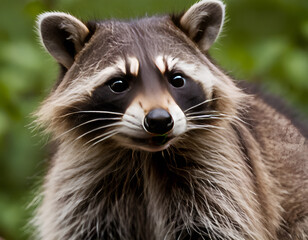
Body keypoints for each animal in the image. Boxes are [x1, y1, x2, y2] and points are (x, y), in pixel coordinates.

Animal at [32, 0, 306, 240]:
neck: (144, 155)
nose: (159, 120)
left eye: (176, 79)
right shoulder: (81, 184)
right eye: (119, 84)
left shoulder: (220, 173)